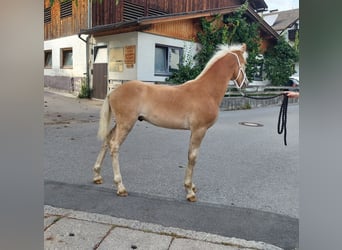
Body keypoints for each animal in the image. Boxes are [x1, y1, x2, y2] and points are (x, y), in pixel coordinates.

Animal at [93, 42, 248, 201]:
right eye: (244, 63)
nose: (246, 84)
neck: (206, 91)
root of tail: (112, 92)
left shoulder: (194, 131)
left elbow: (190, 155)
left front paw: (191, 186)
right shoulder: (199, 130)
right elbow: (193, 157)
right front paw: (189, 191)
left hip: (119, 124)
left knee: (107, 140)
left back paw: (97, 175)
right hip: (126, 124)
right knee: (114, 146)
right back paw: (120, 186)